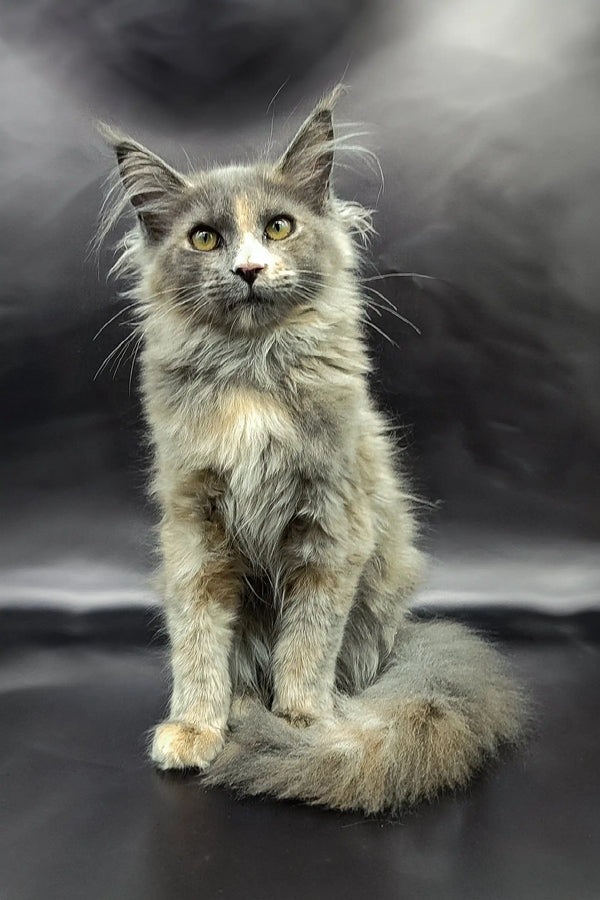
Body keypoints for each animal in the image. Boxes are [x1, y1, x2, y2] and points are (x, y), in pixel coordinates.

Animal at [101, 88, 524, 812]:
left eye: (278, 228)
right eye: (204, 237)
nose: (248, 269)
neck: (251, 375)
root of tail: (405, 639)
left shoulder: (329, 530)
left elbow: (307, 643)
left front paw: (300, 726)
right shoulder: (195, 530)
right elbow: (197, 643)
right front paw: (196, 727)